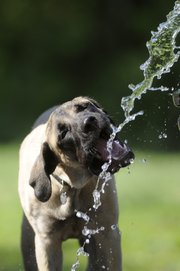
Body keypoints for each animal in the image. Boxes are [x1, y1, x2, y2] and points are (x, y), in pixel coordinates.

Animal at [18, 96, 134, 270]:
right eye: (63, 133)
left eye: (83, 107)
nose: (89, 123)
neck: (71, 187)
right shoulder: (47, 242)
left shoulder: (107, 233)